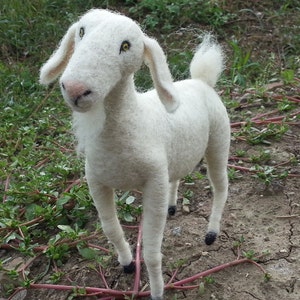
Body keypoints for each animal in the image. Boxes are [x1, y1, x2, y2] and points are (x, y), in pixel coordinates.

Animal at [39, 8, 231, 298]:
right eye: (81, 31)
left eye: (126, 46)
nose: (75, 89)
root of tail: (201, 81)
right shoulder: (96, 181)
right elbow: (110, 228)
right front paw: (127, 264)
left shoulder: (154, 183)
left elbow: (151, 251)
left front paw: (157, 291)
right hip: (177, 155)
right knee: (177, 176)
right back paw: (173, 207)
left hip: (219, 141)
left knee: (221, 186)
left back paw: (211, 234)